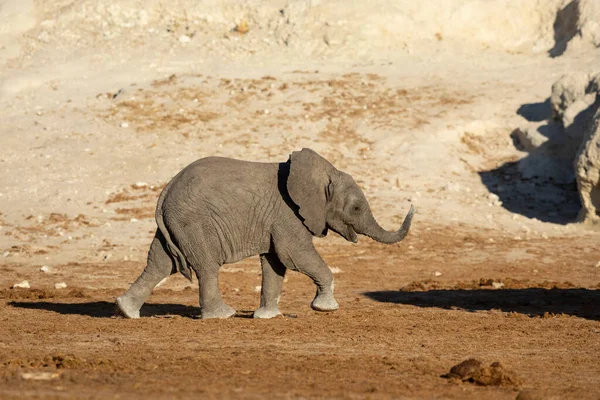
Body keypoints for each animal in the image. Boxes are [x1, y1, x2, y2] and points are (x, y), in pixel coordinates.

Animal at [117, 148, 418, 320]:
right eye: (355, 208)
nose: (413, 204)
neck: (320, 174)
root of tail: (165, 191)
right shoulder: (288, 213)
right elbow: (294, 255)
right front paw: (326, 309)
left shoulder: (275, 219)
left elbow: (275, 263)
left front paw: (267, 317)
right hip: (194, 222)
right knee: (206, 266)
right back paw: (223, 316)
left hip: (175, 224)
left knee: (159, 263)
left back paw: (126, 311)